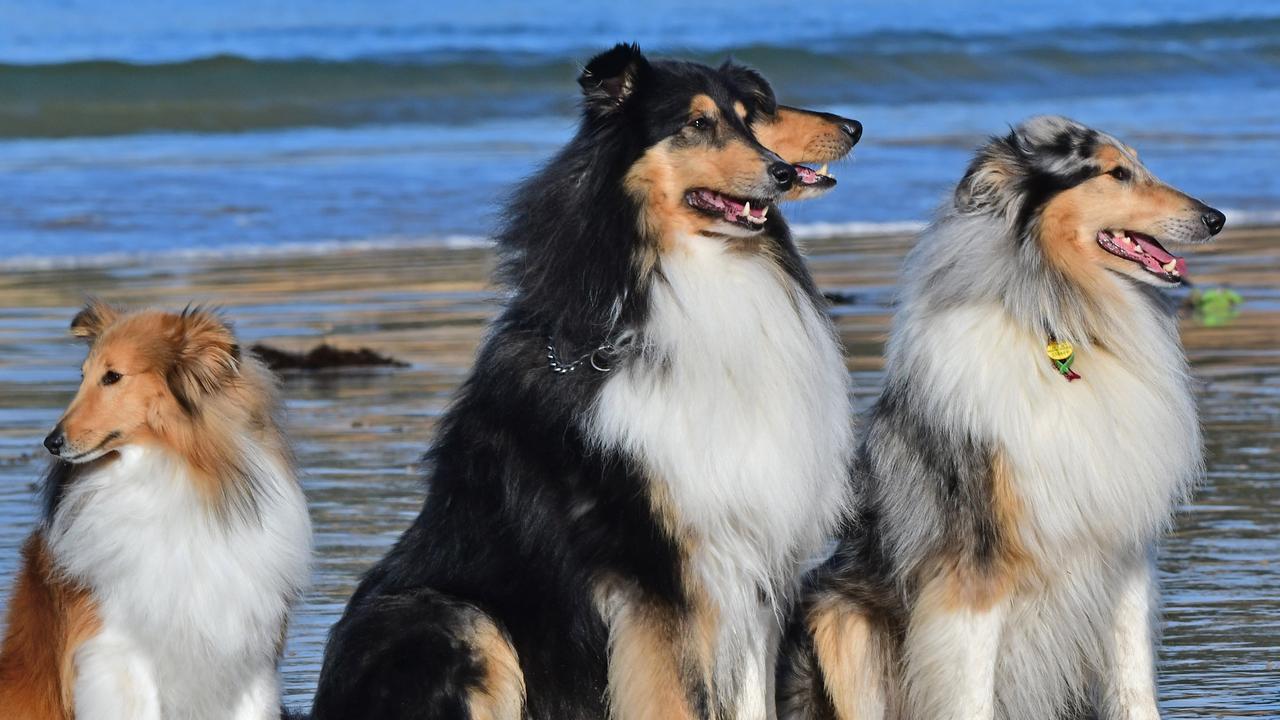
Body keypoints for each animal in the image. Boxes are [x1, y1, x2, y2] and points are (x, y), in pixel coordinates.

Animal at [0, 302, 312, 717]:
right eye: (83, 376)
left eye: (112, 377)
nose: (52, 442)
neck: (166, 469)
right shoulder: (119, 653)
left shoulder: (250, 652)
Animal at [312, 44, 860, 717]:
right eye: (697, 123)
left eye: (745, 113)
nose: (781, 172)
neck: (690, 279)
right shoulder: (656, 573)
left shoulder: (755, 562)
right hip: (453, 619)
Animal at [783, 114, 1223, 712]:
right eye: (1116, 173)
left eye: (1138, 163)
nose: (1216, 218)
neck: (1064, 320)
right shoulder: (975, 568)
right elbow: (970, 694)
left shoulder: (1124, 548)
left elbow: (1134, 683)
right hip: (839, 617)